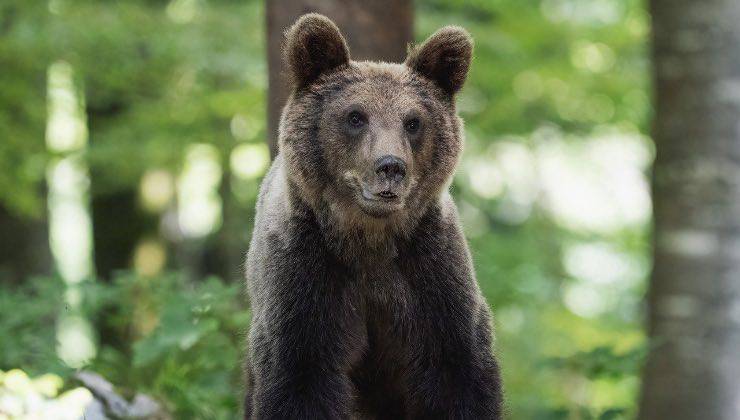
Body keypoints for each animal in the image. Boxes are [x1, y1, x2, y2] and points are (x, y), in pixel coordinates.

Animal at [246, 13, 506, 420]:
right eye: (356, 116)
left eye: (413, 122)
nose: (391, 167)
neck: (369, 239)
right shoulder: (305, 278)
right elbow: (300, 378)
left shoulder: (431, 276)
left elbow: (457, 372)